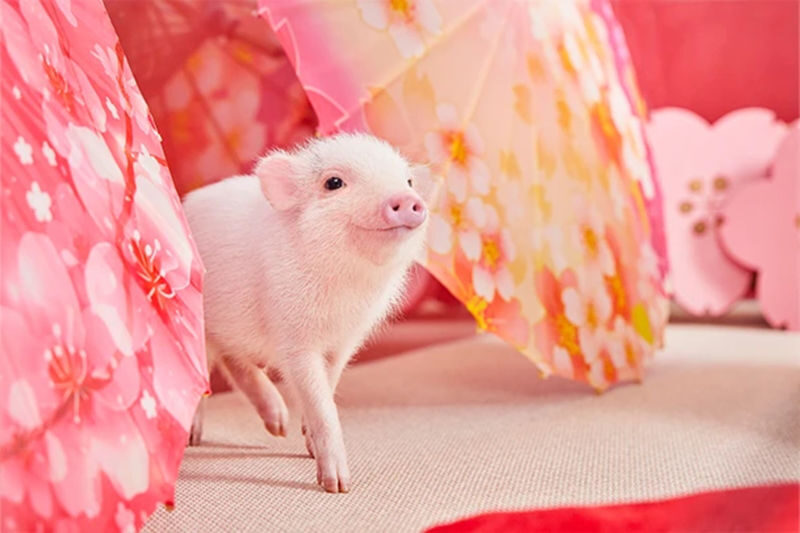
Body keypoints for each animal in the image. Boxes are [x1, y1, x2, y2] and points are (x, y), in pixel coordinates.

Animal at [182, 133, 432, 493]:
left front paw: (307, 443)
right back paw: (193, 439)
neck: (344, 290)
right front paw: (338, 486)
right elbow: (319, 399)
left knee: (233, 362)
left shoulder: (346, 339)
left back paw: (277, 426)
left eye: (408, 181)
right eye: (333, 183)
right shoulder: (294, 338)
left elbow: (329, 383)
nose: (407, 198)